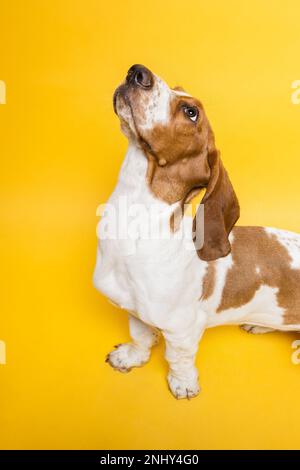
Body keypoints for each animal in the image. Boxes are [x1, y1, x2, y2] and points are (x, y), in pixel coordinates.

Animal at [94, 64, 300, 398]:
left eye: (191, 112)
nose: (137, 71)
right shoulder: (133, 310)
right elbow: (140, 337)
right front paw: (131, 357)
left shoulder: (182, 330)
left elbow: (177, 357)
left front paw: (183, 383)